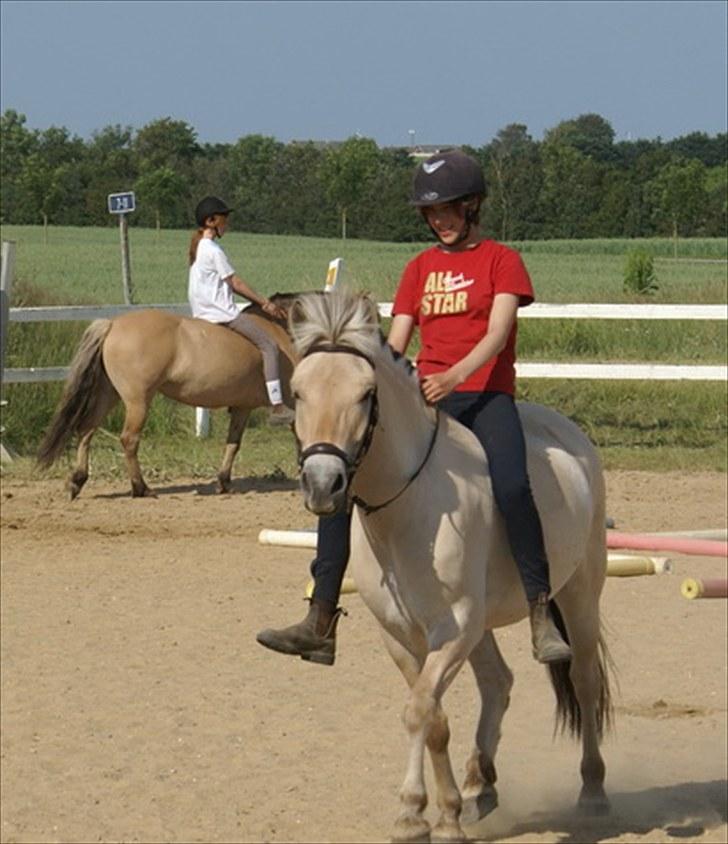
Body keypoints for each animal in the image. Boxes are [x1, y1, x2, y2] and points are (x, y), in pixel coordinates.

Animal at [36, 296, 298, 498]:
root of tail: (112, 324)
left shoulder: (242, 407)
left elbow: (233, 443)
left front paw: (223, 482)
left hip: (108, 394)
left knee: (87, 430)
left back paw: (77, 481)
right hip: (138, 401)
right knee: (129, 439)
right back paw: (140, 488)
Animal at [288, 292, 612, 844]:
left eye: (366, 394)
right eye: (296, 392)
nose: (323, 483)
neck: (408, 508)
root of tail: (571, 435)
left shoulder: (454, 626)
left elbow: (420, 710)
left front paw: (415, 811)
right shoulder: (402, 633)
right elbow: (433, 717)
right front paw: (436, 814)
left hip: (579, 590)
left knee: (584, 679)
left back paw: (592, 792)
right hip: (483, 625)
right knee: (498, 682)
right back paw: (482, 782)